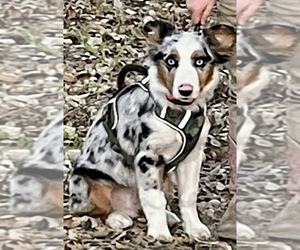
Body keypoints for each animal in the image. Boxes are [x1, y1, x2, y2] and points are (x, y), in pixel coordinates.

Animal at [69, 20, 236, 240]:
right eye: (171, 61)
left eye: (200, 61)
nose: (185, 90)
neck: (179, 110)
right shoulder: (148, 158)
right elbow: (154, 199)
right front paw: (159, 233)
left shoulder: (192, 157)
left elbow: (188, 195)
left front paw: (194, 228)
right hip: (87, 180)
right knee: (99, 210)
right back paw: (118, 218)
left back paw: (168, 216)